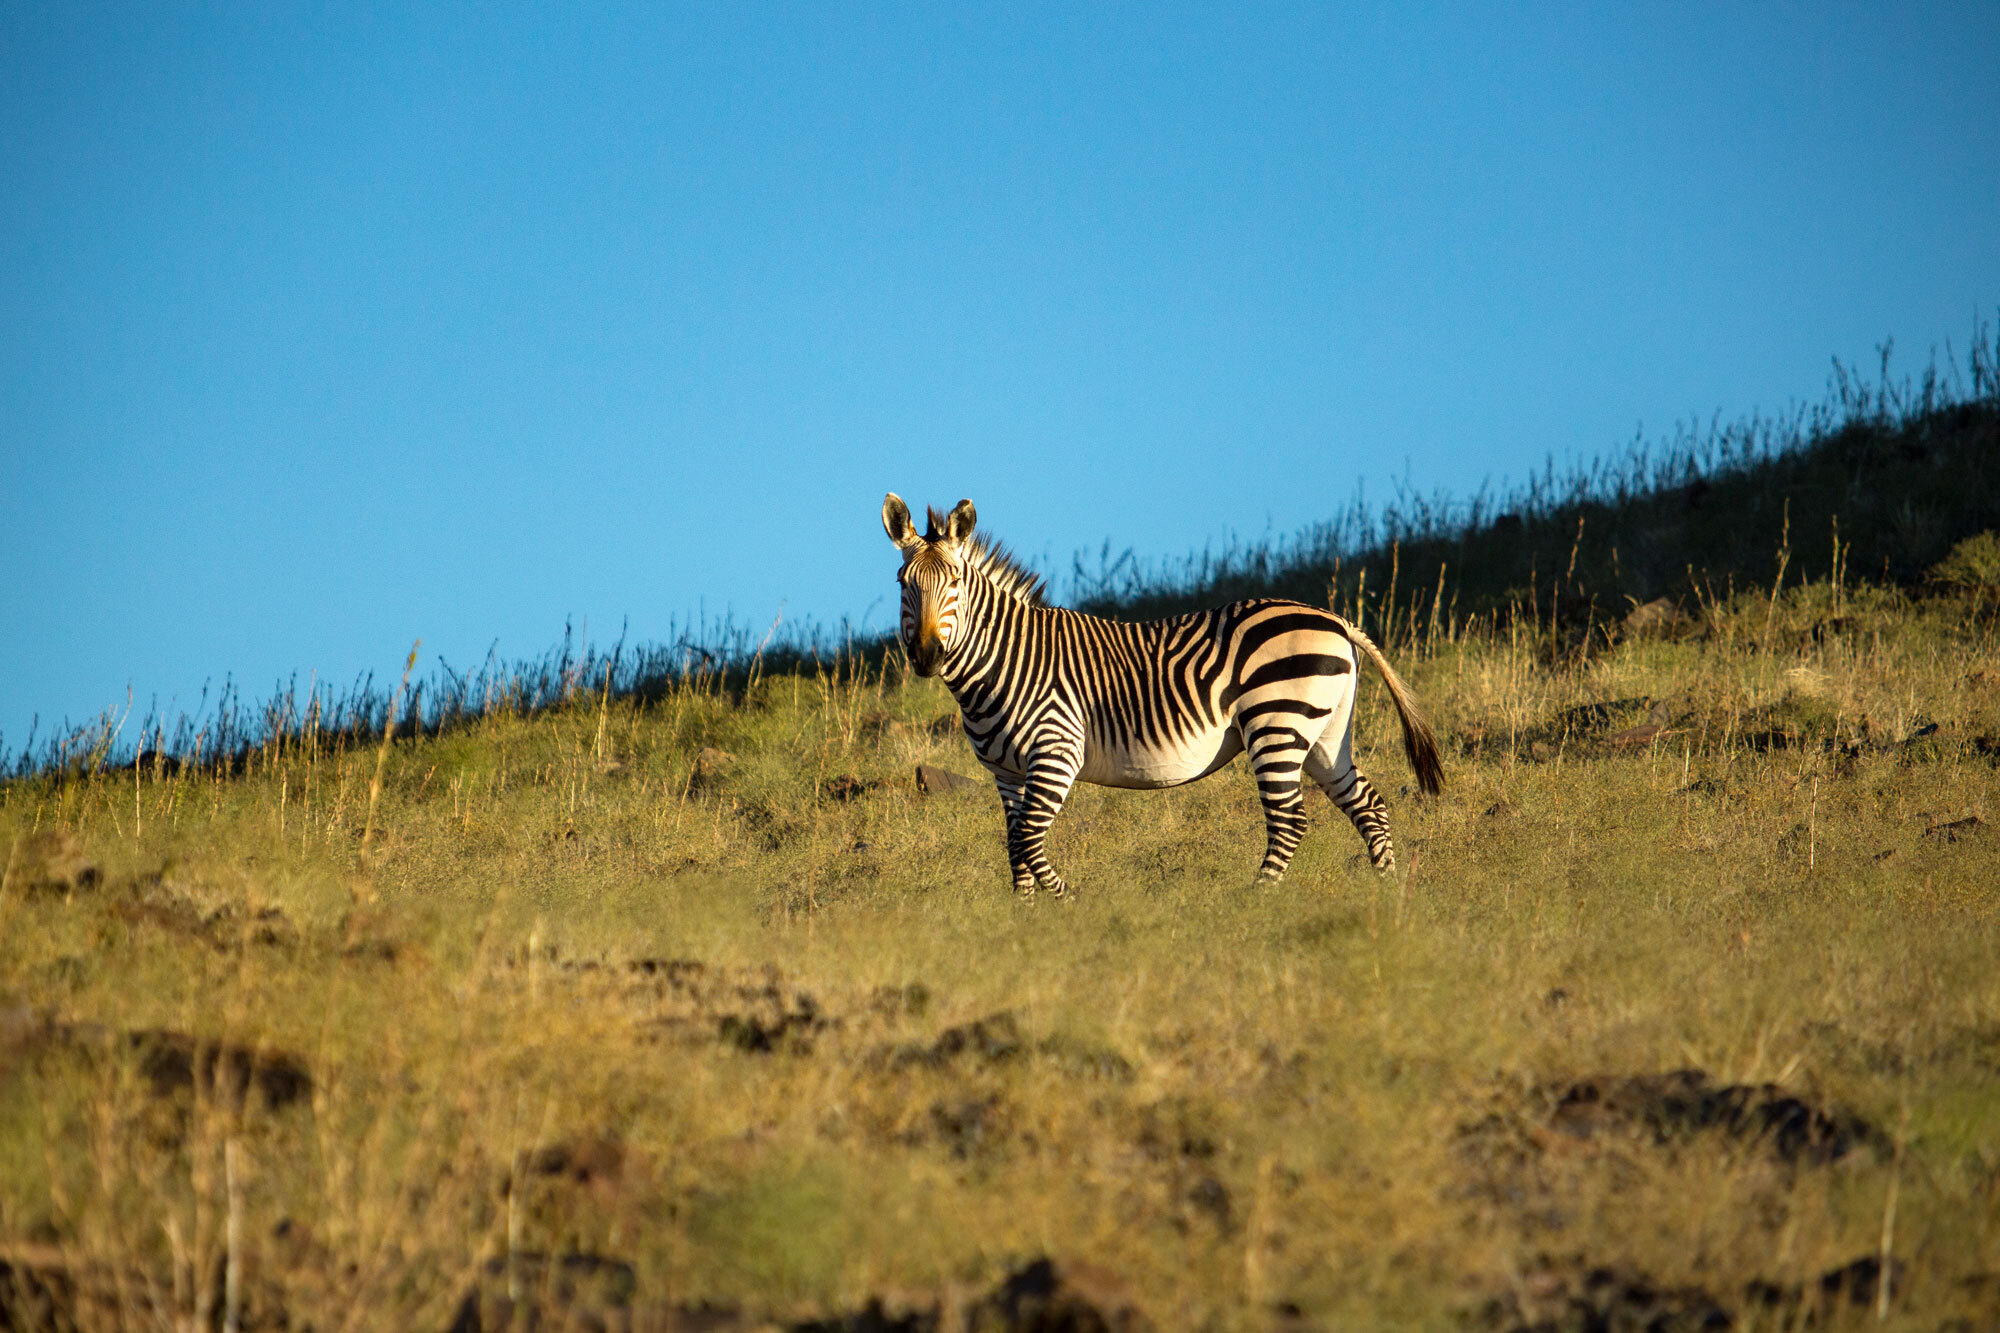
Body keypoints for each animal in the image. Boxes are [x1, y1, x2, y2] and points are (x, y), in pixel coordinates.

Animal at [888, 490, 1440, 892]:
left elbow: (1026, 840)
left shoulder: (1056, 751)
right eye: (902, 582)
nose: (927, 655)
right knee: (1368, 805)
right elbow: (1013, 845)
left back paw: (1257, 898)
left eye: (955, 581)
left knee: (1290, 820)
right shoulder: (1006, 773)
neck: (1005, 662)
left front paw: (1065, 903)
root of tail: (1335, 619)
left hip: (1278, 722)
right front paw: (1026, 916)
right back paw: (1386, 891)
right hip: (1324, 734)